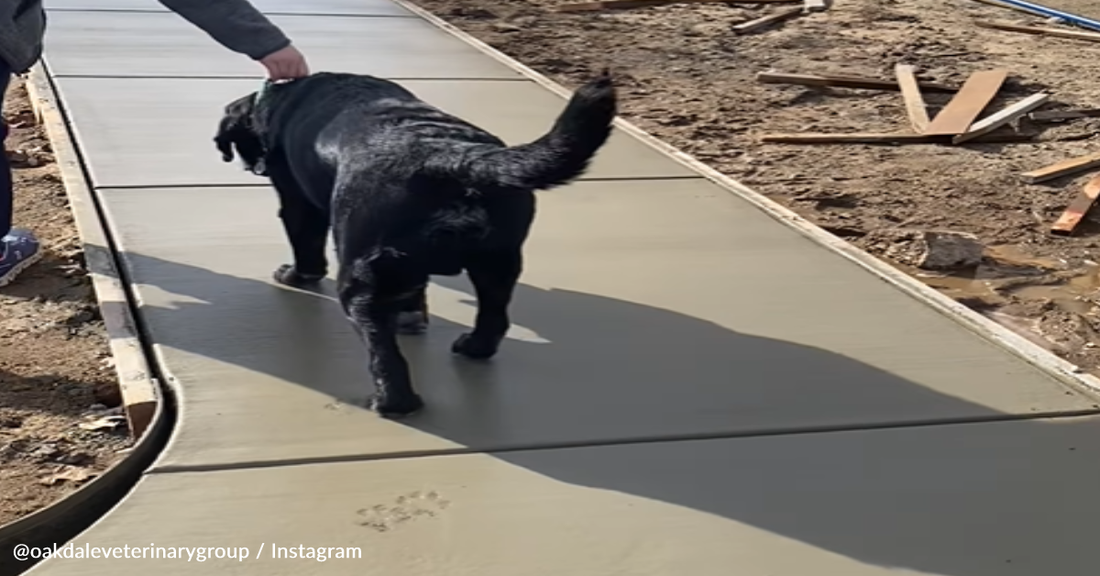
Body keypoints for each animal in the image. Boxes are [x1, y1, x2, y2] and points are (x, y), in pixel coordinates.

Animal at [210, 70, 616, 417]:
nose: (248, 164)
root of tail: (452, 155)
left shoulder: (297, 203)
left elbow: (305, 246)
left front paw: (293, 275)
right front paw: (411, 314)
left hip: (358, 277)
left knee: (383, 350)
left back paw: (391, 403)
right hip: (499, 261)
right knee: (494, 315)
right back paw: (472, 347)